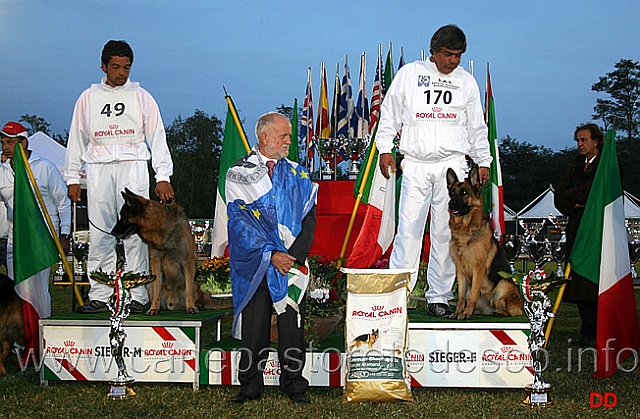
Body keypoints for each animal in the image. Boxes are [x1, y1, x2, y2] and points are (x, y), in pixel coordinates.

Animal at [448, 167, 524, 322]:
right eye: (452, 193)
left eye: (464, 192)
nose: (450, 204)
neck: (466, 230)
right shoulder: (460, 271)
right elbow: (461, 297)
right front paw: (458, 312)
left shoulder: (478, 269)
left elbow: (472, 295)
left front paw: (465, 313)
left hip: (502, 285)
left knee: (511, 311)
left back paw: (499, 312)